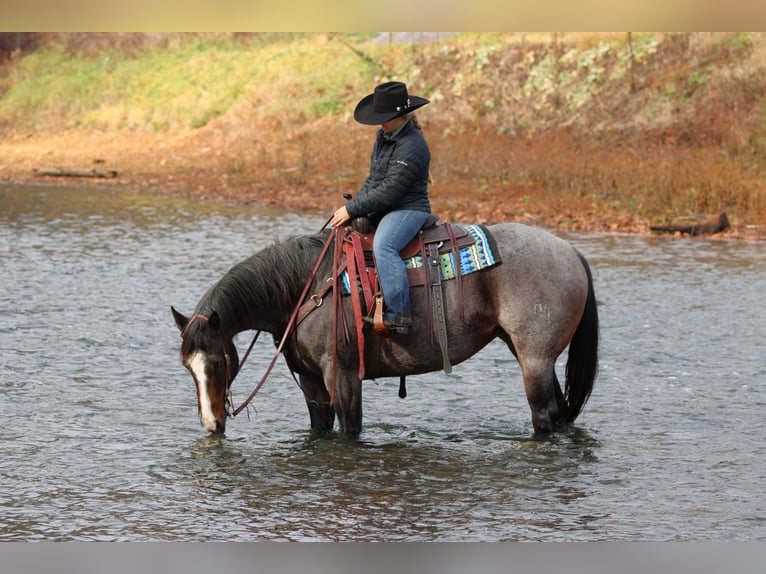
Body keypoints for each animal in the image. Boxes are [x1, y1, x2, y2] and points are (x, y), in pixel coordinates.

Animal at [171, 222, 599, 436]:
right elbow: (320, 430)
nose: (211, 424)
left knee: (544, 414)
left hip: (535, 358)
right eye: (187, 368)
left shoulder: (342, 375)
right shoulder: (311, 381)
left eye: (220, 361)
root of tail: (571, 252)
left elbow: (350, 429)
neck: (306, 286)